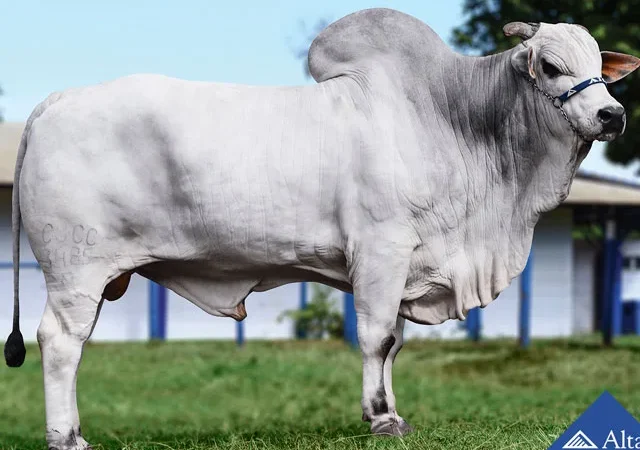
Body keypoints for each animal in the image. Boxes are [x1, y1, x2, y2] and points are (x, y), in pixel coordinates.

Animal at [4, 8, 640, 449]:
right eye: (552, 66)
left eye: (599, 68)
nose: (612, 115)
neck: (454, 123)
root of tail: (55, 100)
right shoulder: (382, 251)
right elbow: (377, 337)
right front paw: (381, 418)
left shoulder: (400, 267)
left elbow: (394, 344)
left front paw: (387, 408)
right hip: (76, 271)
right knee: (60, 342)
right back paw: (66, 436)